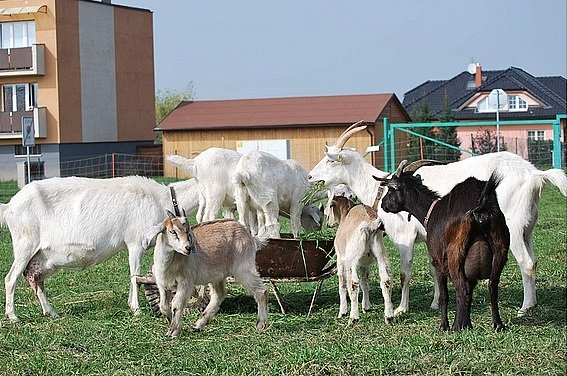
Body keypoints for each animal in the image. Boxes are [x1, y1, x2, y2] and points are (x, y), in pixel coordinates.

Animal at [0, 175, 200, 322]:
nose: (188, 248)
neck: (159, 199)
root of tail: (9, 206)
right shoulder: (136, 242)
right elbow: (135, 275)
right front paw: (136, 310)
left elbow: (132, 276)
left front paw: (130, 304)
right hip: (25, 244)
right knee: (11, 278)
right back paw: (13, 316)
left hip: (43, 257)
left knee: (34, 277)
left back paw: (51, 312)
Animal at [328, 195, 394, 324]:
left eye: (330, 206)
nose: (328, 224)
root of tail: (369, 225)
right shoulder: (365, 264)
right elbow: (365, 283)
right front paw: (366, 306)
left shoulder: (340, 260)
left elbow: (342, 285)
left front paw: (342, 312)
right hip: (381, 254)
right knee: (386, 281)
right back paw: (389, 316)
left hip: (351, 260)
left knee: (353, 284)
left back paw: (353, 318)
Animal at [374, 160, 512, 330]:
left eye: (391, 190)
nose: (383, 205)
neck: (430, 210)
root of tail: (481, 206)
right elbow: (470, 291)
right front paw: (467, 323)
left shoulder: (438, 260)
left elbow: (444, 295)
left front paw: (445, 326)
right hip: (500, 250)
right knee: (492, 287)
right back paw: (497, 324)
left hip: (455, 254)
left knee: (461, 290)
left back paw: (456, 327)